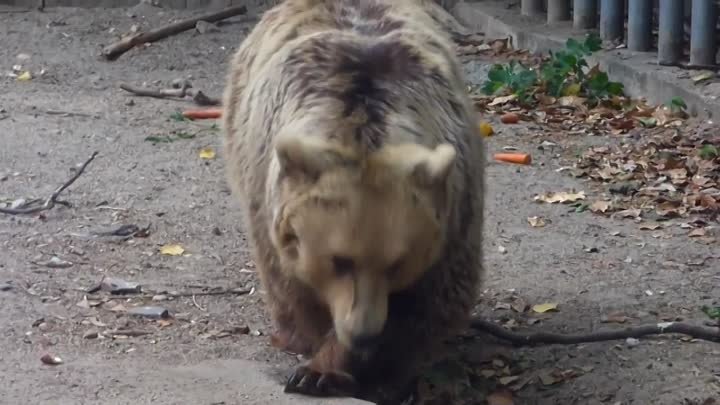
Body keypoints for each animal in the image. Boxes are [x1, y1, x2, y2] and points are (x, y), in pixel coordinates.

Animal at [222, 0, 486, 400]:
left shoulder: (455, 215)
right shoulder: (269, 211)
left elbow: (428, 305)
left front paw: (366, 371)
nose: (363, 334)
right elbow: (297, 290)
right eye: (339, 260)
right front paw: (318, 366)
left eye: (398, 263)